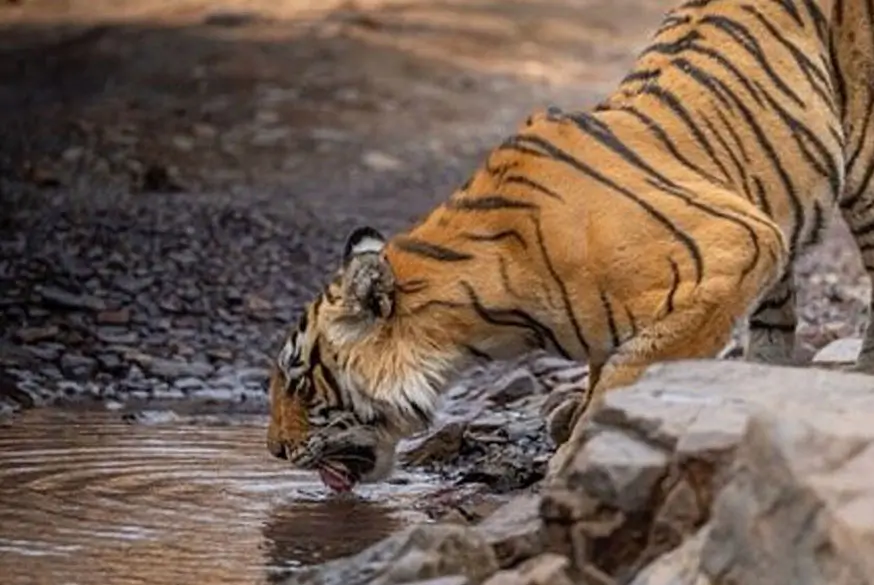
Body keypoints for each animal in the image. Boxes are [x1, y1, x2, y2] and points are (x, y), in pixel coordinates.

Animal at [266, 0, 874, 491]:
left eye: (299, 382)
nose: (274, 450)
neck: (484, 322)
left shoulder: (737, 245)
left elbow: (629, 375)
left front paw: (577, 455)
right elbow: (609, 370)